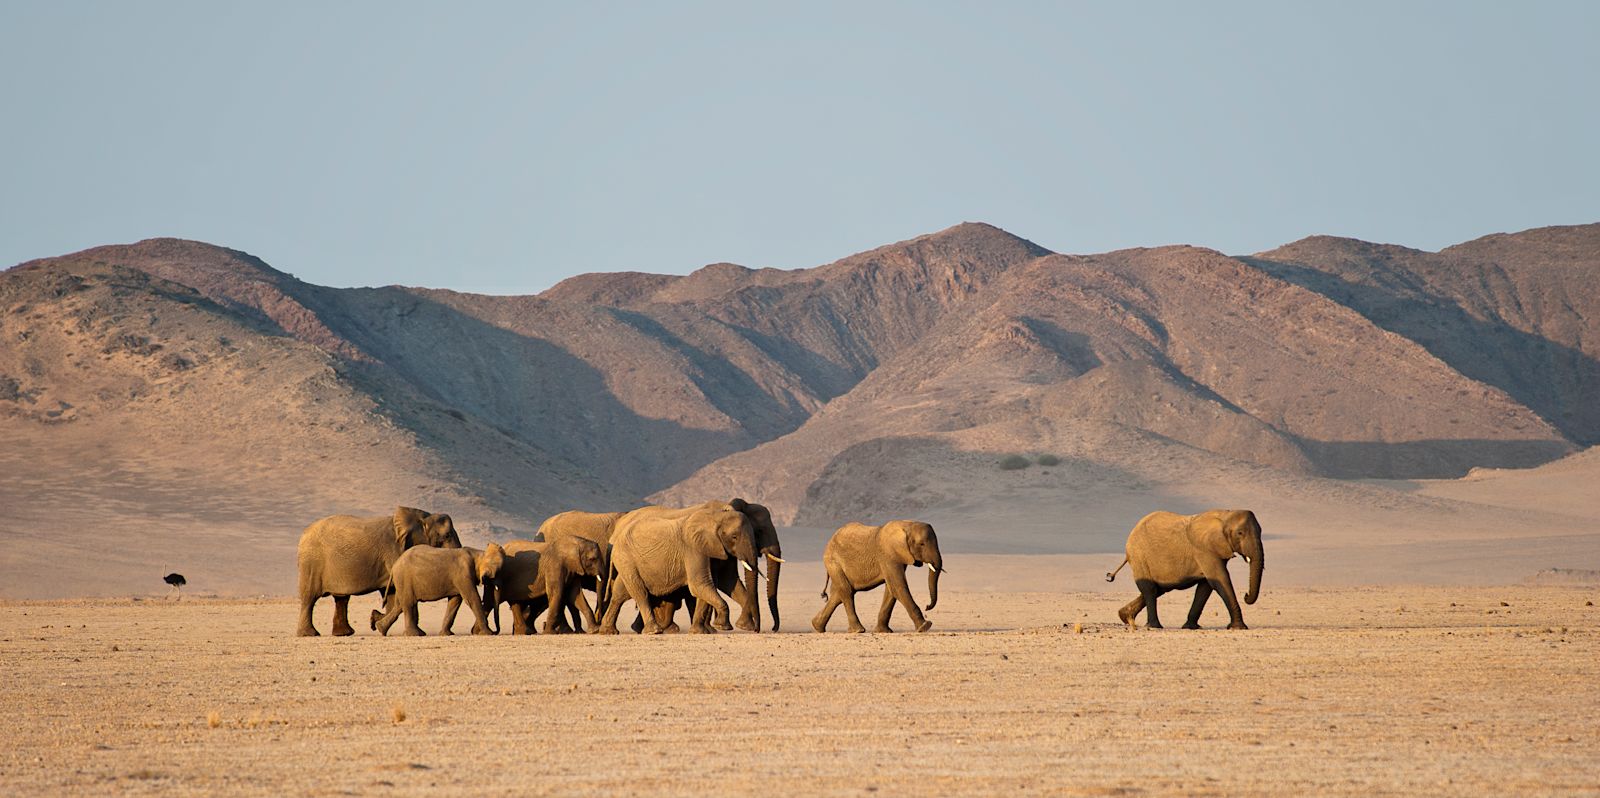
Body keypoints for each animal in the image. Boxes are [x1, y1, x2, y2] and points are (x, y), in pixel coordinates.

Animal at [297, 505, 460, 636]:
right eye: (447, 535)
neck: (421, 518)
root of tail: (303, 534)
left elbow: (393, 593)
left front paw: (374, 620)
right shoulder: (393, 550)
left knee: (341, 598)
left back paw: (343, 633)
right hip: (311, 563)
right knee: (309, 597)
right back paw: (310, 634)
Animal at [371, 543, 502, 636]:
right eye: (493, 573)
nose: (496, 632)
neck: (478, 553)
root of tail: (394, 566)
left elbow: (455, 601)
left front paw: (446, 634)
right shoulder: (463, 575)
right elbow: (472, 598)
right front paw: (488, 633)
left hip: (402, 581)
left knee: (399, 605)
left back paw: (380, 628)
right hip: (404, 578)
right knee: (408, 603)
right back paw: (414, 634)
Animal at [601, 498, 761, 636]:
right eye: (734, 537)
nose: (756, 630)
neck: (715, 516)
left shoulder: (715, 548)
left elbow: (723, 582)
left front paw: (700, 632)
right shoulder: (693, 548)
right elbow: (699, 584)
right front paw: (722, 626)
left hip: (627, 562)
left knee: (620, 593)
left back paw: (608, 631)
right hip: (626, 559)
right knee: (640, 592)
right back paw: (654, 631)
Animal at [1100, 511, 1260, 630]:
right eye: (1240, 533)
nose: (1246, 595)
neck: (1225, 514)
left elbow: (1206, 586)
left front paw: (1190, 627)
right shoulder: (1205, 550)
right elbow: (1220, 580)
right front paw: (1239, 627)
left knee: (1160, 589)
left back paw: (1125, 616)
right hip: (1139, 557)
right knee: (1150, 589)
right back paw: (1154, 626)